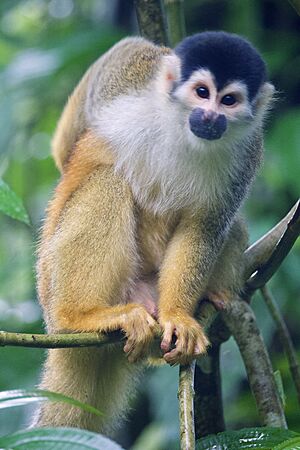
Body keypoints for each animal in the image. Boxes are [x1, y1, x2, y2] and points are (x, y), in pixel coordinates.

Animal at [33, 31, 274, 432]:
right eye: (202, 92)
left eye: (229, 100)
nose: (211, 117)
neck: (182, 131)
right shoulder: (130, 86)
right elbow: (70, 145)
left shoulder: (248, 153)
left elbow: (205, 224)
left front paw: (178, 315)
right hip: (52, 284)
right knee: (107, 182)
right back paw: (79, 315)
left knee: (233, 224)